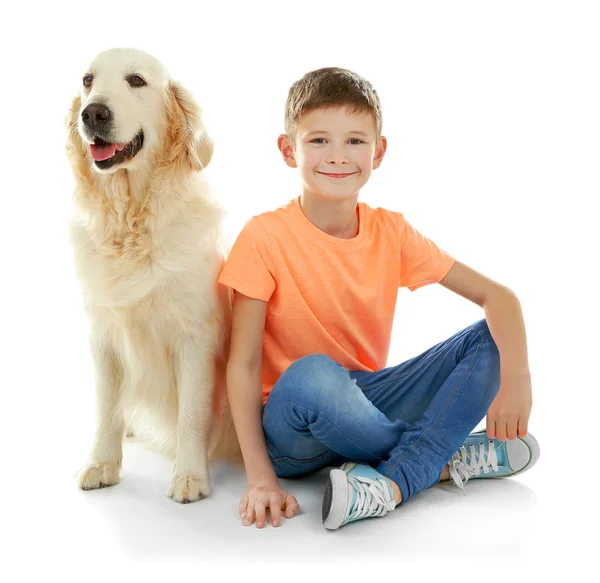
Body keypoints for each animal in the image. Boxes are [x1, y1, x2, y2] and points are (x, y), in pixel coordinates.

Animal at [67, 48, 240, 504]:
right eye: (88, 80)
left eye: (136, 81)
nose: (93, 113)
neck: (131, 219)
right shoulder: (104, 334)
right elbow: (106, 408)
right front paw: (101, 463)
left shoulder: (195, 337)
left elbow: (192, 414)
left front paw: (190, 476)